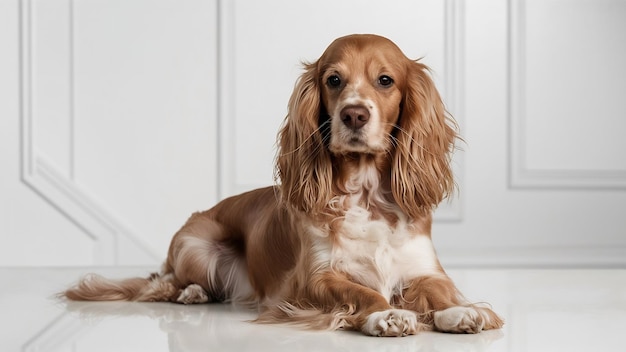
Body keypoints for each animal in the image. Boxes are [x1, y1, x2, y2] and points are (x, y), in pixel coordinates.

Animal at [63, 34, 502, 336]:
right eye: (334, 79)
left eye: (385, 80)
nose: (354, 115)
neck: (366, 197)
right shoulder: (315, 279)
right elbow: (362, 292)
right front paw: (387, 313)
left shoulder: (424, 269)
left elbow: (441, 292)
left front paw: (460, 312)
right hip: (195, 246)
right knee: (163, 283)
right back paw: (192, 293)